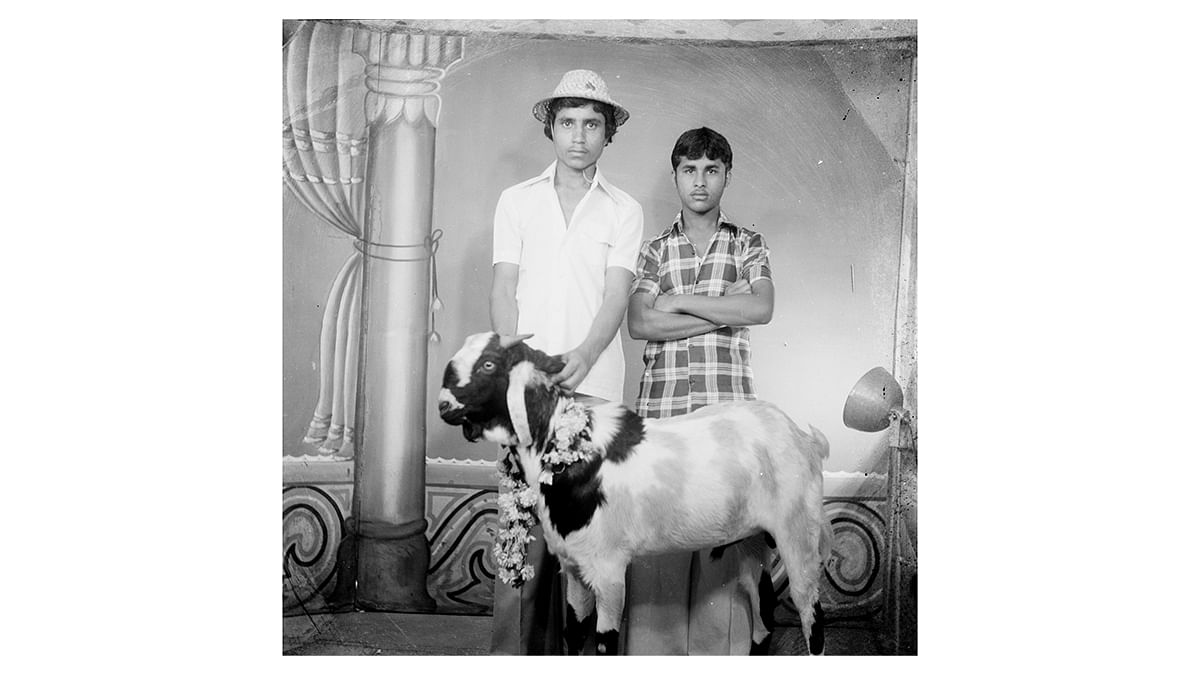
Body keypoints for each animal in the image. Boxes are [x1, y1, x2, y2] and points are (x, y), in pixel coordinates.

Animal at [441, 331, 835, 653]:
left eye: (489, 363)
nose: (444, 406)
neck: (569, 449)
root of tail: (805, 438)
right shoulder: (574, 566)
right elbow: (574, 635)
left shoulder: (609, 569)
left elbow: (604, 643)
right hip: (751, 544)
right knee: (763, 617)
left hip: (798, 534)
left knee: (812, 616)